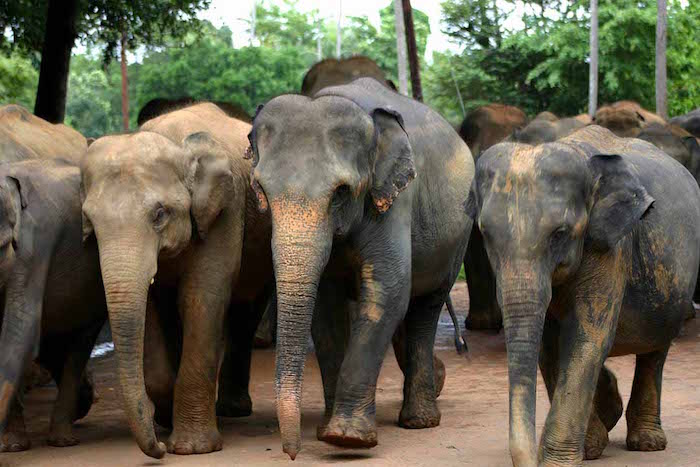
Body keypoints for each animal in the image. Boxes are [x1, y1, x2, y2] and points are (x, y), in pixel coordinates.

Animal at [0, 159, 106, 452]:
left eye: (2, 246)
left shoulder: (33, 246)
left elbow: (20, 330)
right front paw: (12, 448)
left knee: (77, 346)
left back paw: (63, 439)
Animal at [79, 102, 270, 458]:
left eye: (159, 214)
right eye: (90, 221)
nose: (159, 449)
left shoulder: (226, 210)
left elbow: (201, 297)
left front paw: (193, 449)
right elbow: (152, 307)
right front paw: (165, 419)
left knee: (247, 309)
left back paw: (233, 411)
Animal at [247, 77, 476, 460]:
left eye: (340, 192)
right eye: (260, 189)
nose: (291, 453)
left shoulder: (396, 202)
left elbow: (388, 291)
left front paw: (347, 439)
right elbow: (325, 309)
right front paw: (326, 431)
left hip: (458, 235)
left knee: (425, 308)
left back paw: (420, 421)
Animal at [464, 125, 700, 467]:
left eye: (560, 234)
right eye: (485, 233)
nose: (531, 459)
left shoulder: (611, 246)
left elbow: (587, 336)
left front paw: (559, 462)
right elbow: (550, 345)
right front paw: (589, 449)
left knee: (655, 349)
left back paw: (647, 443)